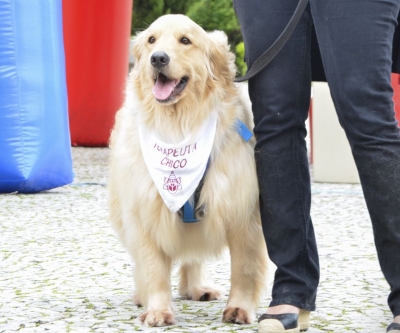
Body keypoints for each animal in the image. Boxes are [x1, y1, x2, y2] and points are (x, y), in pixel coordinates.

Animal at [108, 14, 268, 326]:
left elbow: (243, 267)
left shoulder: (242, 207)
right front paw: (157, 310)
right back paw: (142, 295)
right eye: (152, 40)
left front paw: (239, 308)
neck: (179, 126)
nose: (158, 58)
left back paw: (197, 287)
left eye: (185, 40)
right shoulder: (145, 210)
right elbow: (152, 267)